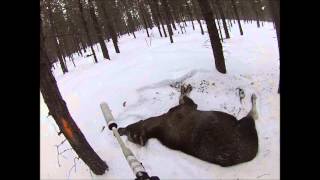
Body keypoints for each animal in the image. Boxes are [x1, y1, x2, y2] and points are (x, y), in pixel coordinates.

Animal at [119, 84, 258, 166]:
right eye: (129, 133)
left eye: (128, 130)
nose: (120, 129)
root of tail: (254, 150)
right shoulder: (188, 106)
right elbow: (183, 97)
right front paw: (186, 88)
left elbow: (182, 97)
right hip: (246, 125)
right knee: (253, 115)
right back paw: (251, 97)